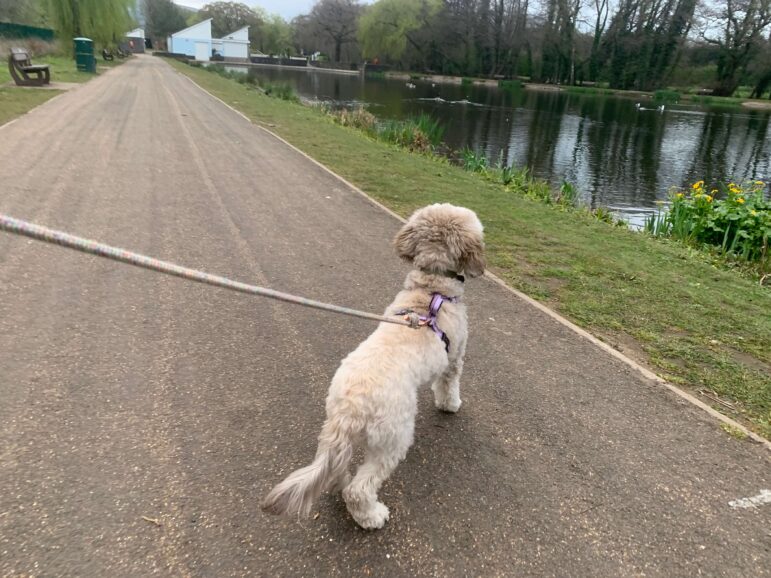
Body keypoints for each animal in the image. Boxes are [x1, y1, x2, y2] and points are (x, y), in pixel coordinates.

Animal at [262, 202, 486, 528]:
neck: (430, 292)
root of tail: (349, 409)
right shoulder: (454, 357)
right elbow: (449, 384)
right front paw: (451, 405)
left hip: (338, 433)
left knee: (337, 471)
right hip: (393, 437)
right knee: (360, 488)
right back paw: (371, 516)